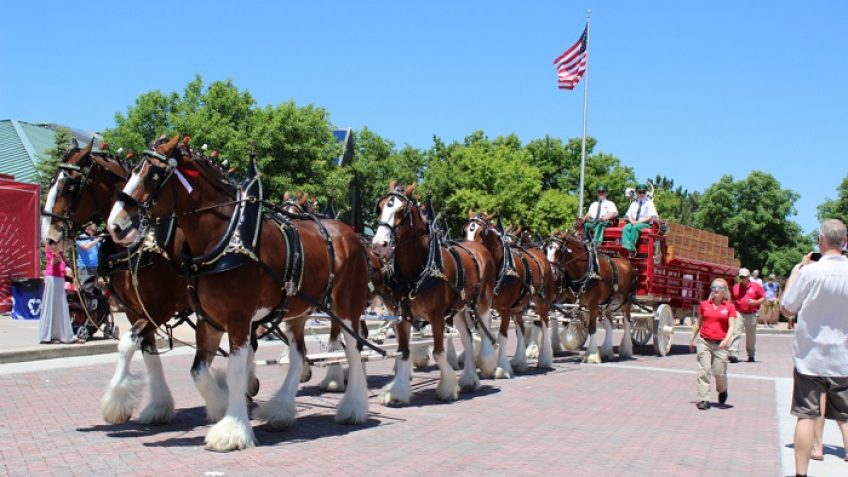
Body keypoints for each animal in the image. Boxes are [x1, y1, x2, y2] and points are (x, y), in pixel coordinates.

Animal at [41, 139, 200, 424]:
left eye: (70, 185)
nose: (48, 237)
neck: (140, 244)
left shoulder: (160, 308)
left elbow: (126, 345)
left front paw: (115, 402)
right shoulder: (134, 309)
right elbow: (147, 350)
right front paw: (158, 406)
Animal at [107, 135, 372, 450]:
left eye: (153, 174)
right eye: (133, 170)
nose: (115, 224)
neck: (226, 239)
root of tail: (351, 233)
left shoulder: (237, 319)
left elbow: (235, 372)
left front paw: (232, 430)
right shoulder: (208, 320)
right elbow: (198, 372)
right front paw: (222, 406)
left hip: (346, 306)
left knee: (353, 350)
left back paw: (353, 408)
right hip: (296, 310)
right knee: (299, 354)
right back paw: (281, 411)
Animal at [372, 180, 496, 404]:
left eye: (401, 210)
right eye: (381, 207)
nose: (379, 244)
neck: (417, 269)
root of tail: (477, 246)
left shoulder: (437, 316)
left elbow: (439, 353)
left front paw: (447, 388)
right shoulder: (402, 315)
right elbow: (403, 352)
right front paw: (397, 392)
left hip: (483, 302)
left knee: (483, 331)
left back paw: (487, 364)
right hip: (459, 310)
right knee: (467, 338)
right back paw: (469, 379)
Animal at [464, 212, 556, 376]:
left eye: (481, 232)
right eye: (465, 229)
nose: (469, 250)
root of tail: (541, 256)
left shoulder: (505, 309)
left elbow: (503, 336)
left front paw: (501, 368)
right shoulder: (487, 305)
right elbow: (484, 331)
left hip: (542, 302)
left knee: (545, 325)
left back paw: (545, 359)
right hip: (518, 306)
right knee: (521, 329)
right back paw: (520, 362)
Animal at [548, 231, 632, 360]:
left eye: (558, 249)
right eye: (547, 248)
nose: (551, 272)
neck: (587, 270)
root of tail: (625, 262)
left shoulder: (593, 304)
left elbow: (592, 328)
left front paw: (592, 356)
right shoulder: (581, 302)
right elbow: (578, 323)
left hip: (625, 300)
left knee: (627, 322)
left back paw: (626, 350)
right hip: (608, 301)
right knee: (610, 322)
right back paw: (606, 351)